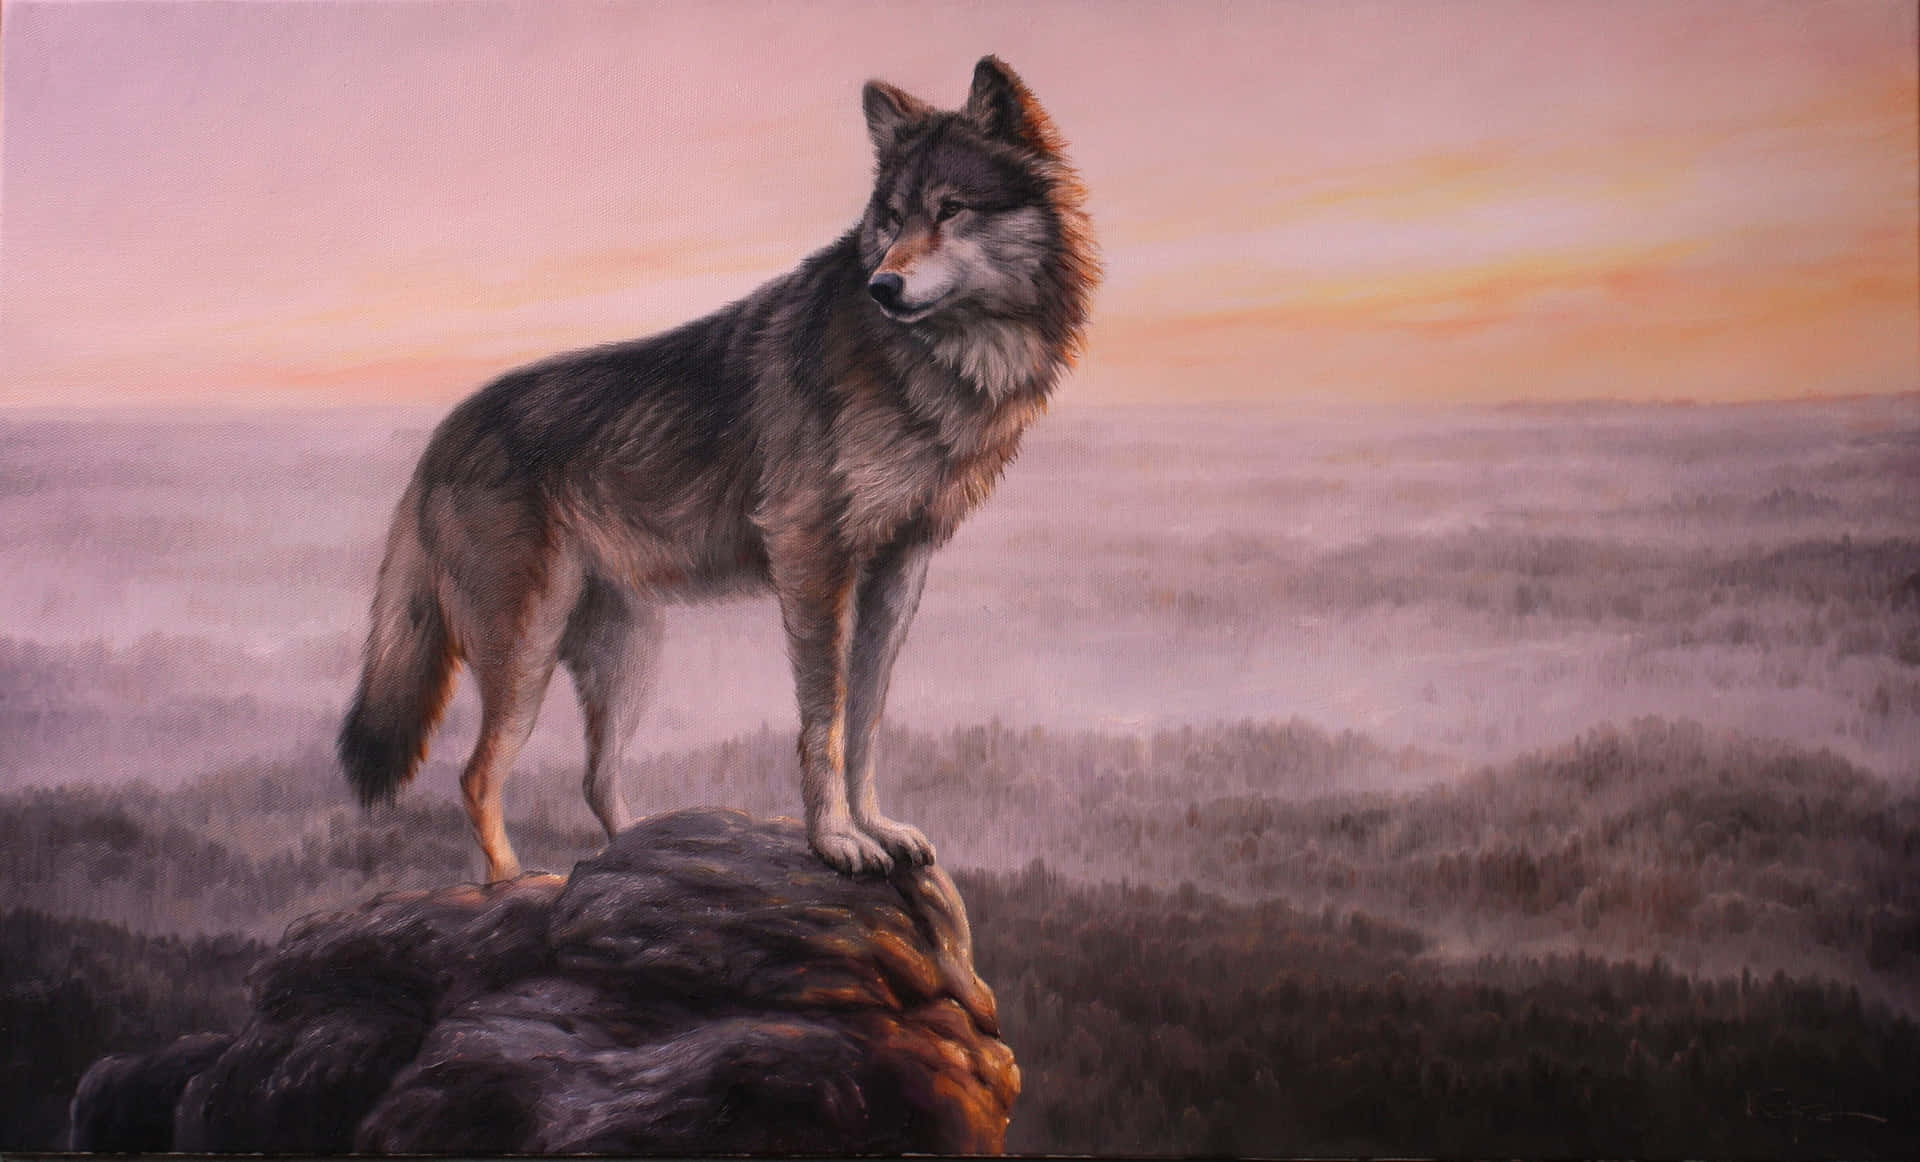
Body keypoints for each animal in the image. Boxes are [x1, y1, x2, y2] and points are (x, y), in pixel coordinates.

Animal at [336, 56, 1096, 882]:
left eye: (950, 210)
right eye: (892, 220)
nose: (883, 288)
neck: (938, 362)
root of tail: (444, 433)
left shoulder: (900, 567)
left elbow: (865, 720)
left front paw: (876, 827)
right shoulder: (811, 559)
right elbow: (824, 724)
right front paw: (837, 841)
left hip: (627, 658)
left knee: (595, 780)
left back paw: (637, 854)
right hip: (526, 653)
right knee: (477, 776)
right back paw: (512, 884)